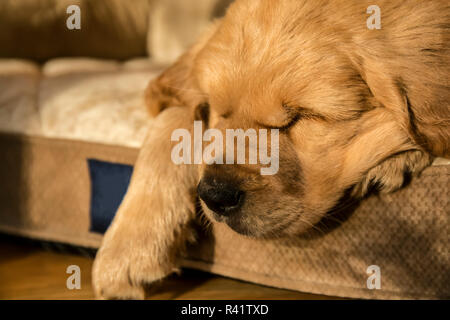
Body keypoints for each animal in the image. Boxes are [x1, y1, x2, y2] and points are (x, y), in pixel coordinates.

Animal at [91, 0, 446, 298]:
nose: (215, 196)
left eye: (300, 117)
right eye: (218, 111)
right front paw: (126, 251)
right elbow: (174, 117)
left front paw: (399, 158)